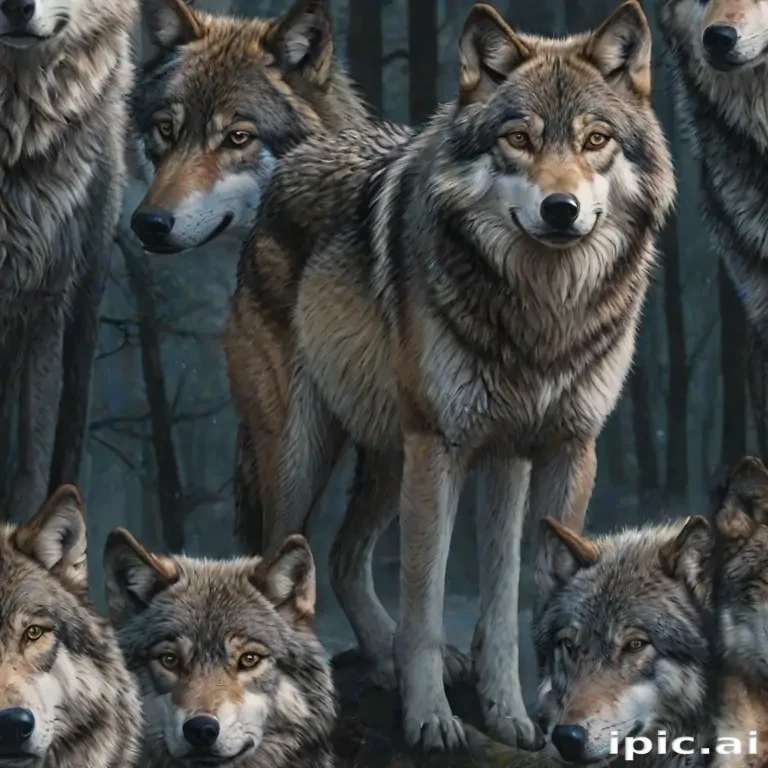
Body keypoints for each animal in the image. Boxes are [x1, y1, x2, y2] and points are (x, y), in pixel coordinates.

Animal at [243, 0, 675, 752]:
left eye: (595, 140)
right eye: (518, 139)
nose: (560, 209)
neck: (542, 316)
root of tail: (295, 159)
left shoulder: (552, 451)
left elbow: (511, 602)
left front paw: (516, 713)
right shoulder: (441, 447)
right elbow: (427, 598)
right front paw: (432, 719)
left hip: (391, 455)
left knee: (346, 555)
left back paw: (392, 662)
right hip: (306, 453)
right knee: (280, 559)